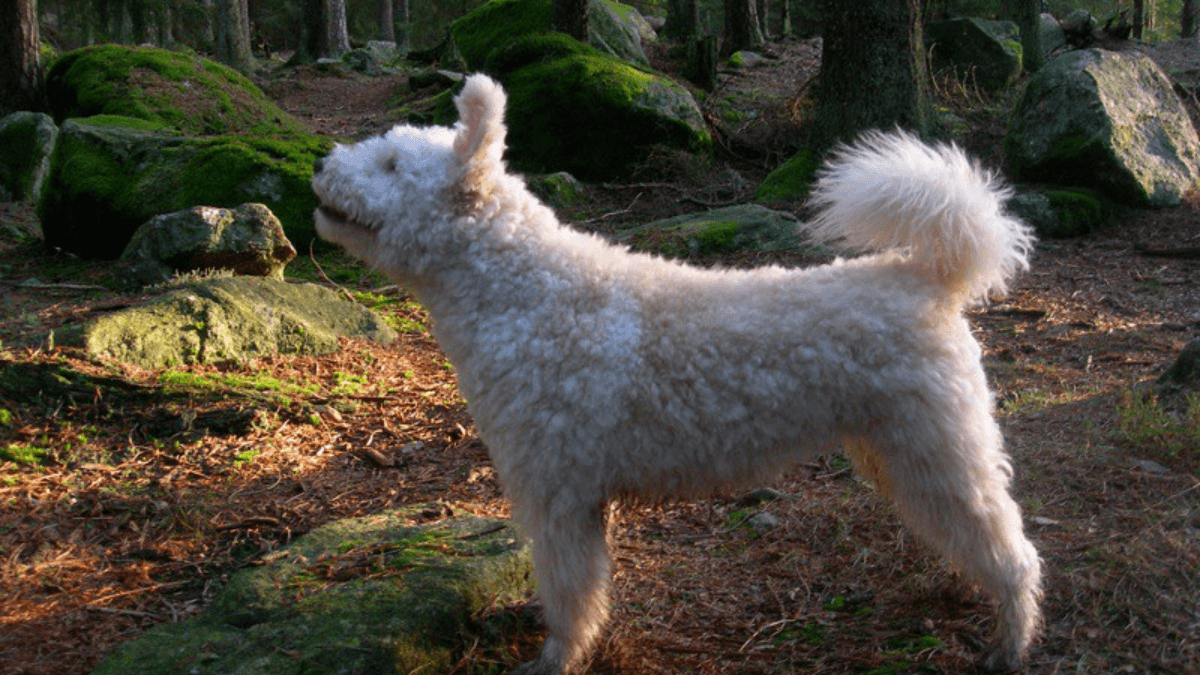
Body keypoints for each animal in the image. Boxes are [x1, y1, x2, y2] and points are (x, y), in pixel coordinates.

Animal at [309, 74, 1041, 672]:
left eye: (391, 164)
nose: (318, 164)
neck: (525, 292)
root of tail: (930, 277)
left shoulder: (557, 493)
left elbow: (570, 592)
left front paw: (557, 657)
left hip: (940, 444)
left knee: (1012, 547)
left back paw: (1011, 639)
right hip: (898, 450)